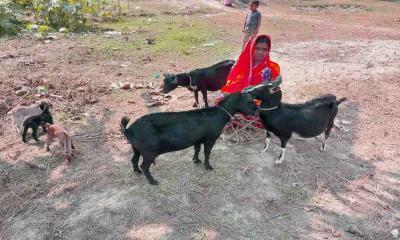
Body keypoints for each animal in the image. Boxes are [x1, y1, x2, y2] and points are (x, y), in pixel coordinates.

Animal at [119, 91, 256, 184]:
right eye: (249, 101)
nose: (257, 111)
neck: (219, 114)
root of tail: (129, 130)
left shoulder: (198, 139)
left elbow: (197, 149)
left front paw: (196, 160)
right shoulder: (210, 138)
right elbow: (207, 152)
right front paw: (208, 166)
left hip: (137, 148)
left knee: (134, 160)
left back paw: (137, 172)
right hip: (149, 151)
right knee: (145, 166)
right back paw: (153, 181)